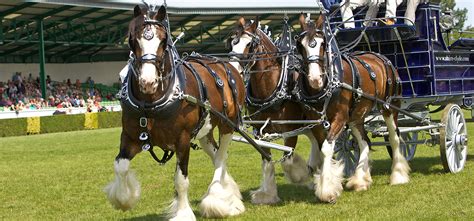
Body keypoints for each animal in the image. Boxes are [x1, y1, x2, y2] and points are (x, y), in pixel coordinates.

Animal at [103, 4, 244, 220]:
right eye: (132, 40)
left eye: (163, 40)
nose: (148, 82)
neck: (151, 105)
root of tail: (228, 65)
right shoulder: (130, 136)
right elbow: (120, 166)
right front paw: (124, 199)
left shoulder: (183, 140)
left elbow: (180, 180)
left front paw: (183, 212)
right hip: (205, 131)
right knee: (216, 156)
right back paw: (229, 197)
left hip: (228, 124)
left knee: (220, 158)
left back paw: (218, 200)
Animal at [228, 16, 320, 204]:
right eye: (231, 42)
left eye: (250, 44)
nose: (233, 69)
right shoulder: (259, 131)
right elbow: (267, 160)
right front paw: (268, 195)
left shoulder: (290, 129)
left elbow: (287, 161)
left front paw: (300, 176)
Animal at [296, 14, 412, 204]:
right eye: (300, 44)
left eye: (322, 43)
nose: (315, 79)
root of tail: (381, 57)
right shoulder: (317, 122)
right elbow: (322, 150)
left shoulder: (340, 118)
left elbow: (326, 149)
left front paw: (327, 191)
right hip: (356, 116)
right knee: (365, 141)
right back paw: (360, 179)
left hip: (389, 106)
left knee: (394, 138)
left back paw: (398, 175)